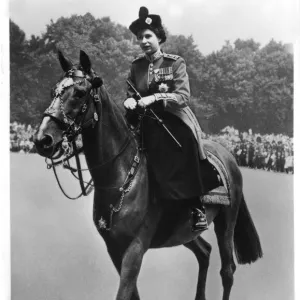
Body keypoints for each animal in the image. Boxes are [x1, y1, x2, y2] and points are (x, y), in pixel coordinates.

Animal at [34, 51, 262, 300]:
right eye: (54, 91)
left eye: (80, 92)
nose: (42, 139)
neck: (122, 175)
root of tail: (228, 155)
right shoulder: (114, 248)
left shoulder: (135, 248)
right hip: (183, 231)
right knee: (204, 252)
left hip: (227, 222)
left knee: (227, 271)